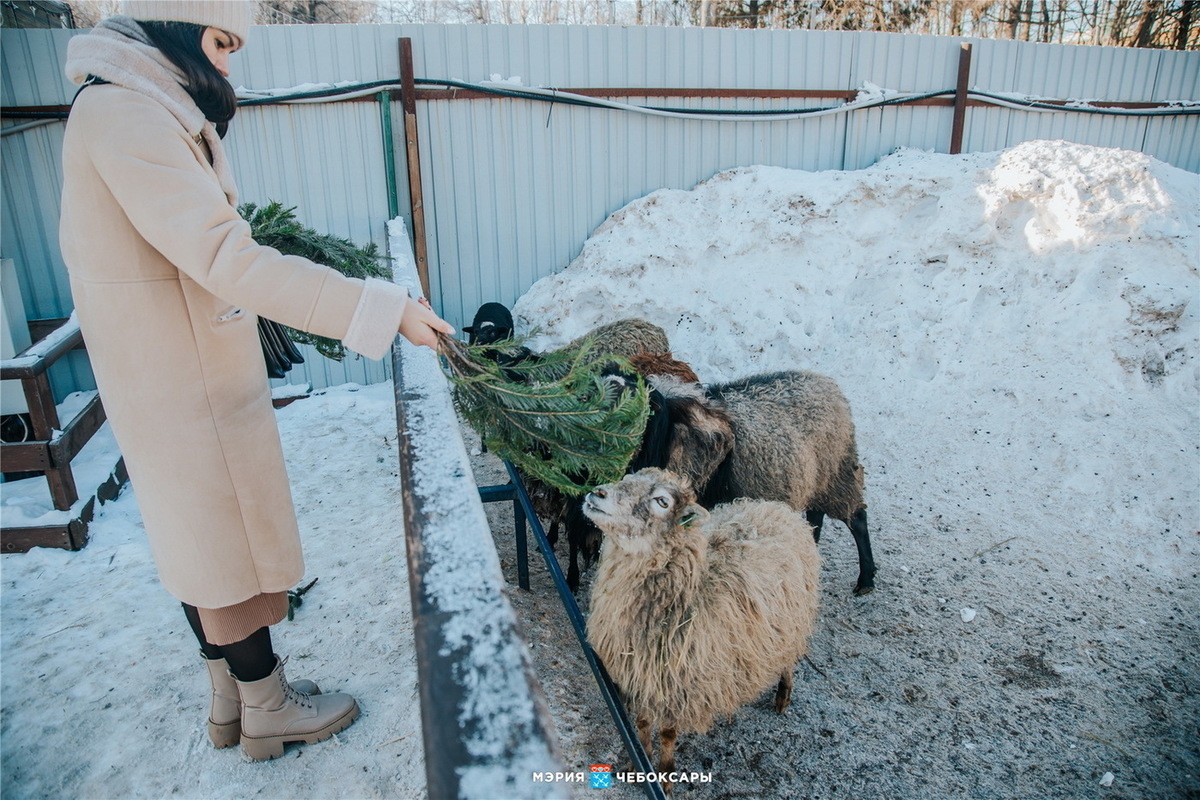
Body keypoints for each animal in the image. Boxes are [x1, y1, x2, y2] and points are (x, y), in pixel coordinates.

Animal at [583, 470, 825, 786]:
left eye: (662, 501)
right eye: (627, 476)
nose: (596, 493)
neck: (689, 592)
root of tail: (776, 508)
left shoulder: (681, 689)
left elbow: (667, 734)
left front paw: (665, 777)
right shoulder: (640, 678)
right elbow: (643, 722)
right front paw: (641, 762)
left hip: (793, 622)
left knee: (789, 659)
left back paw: (783, 695)